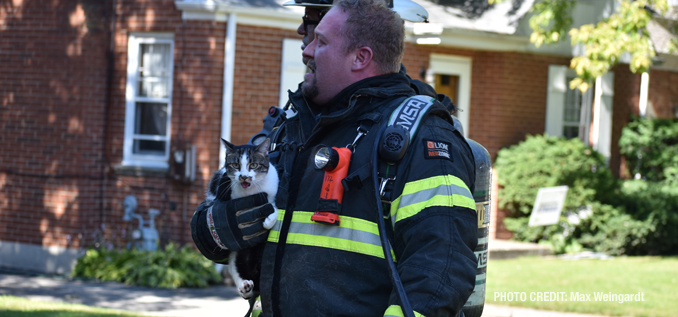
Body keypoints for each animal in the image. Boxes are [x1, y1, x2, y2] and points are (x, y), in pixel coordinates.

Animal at [209, 137, 280, 298]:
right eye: (236, 165)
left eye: (253, 165)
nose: (244, 176)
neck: (250, 192)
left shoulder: (270, 195)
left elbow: (273, 207)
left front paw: (269, 221)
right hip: (235, 257)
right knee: (236, 271)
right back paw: (245, 287)